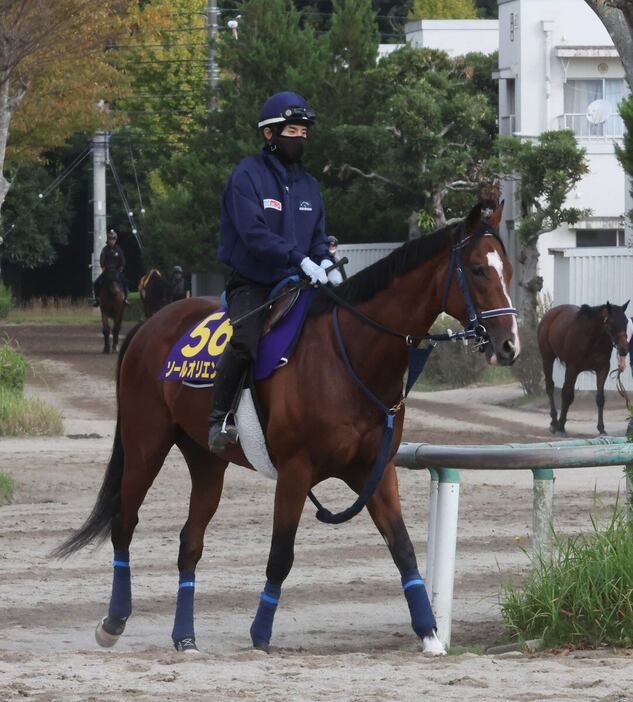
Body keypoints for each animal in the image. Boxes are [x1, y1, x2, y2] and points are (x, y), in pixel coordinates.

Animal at [54, 202, 520, 660]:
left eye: (509, 270)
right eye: (478, 269)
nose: (509, 344)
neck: (347, 355)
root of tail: (148, 326)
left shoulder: (375, 470)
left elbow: (403, 548)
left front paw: (429, 633)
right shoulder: (296, 472)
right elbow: (281, 554)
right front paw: (260, 635)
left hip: (207, 462)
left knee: (190, 542)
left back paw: (185, 637)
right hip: (145, 446)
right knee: (124, 523)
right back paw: (113, 622)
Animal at [540, 302, 628, 438]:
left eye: (626, 321)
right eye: (611, 322)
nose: (624, 349)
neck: (590, 337)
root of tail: (551, 313)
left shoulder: (602, 369)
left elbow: (600, 398)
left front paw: (601, 429)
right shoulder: (573, 368)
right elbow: (567, 395)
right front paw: (561, 427)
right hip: (547, 358)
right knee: (550, 386)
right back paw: (554, 422)